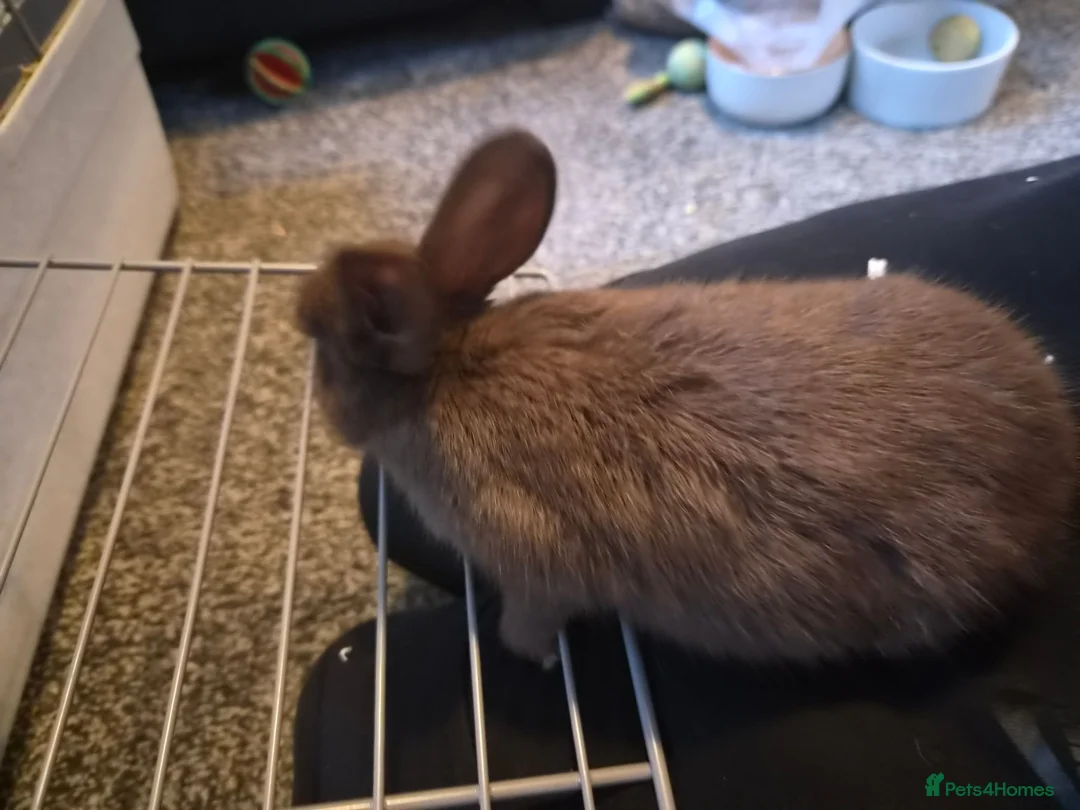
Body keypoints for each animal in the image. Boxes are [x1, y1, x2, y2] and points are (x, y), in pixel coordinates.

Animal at [296, 129, 1077, 666]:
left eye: (321, 357)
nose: (326, 410)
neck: (448, 372)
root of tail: (1055, 457)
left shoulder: (531, 563)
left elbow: (534, 614)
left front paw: (525, 653)